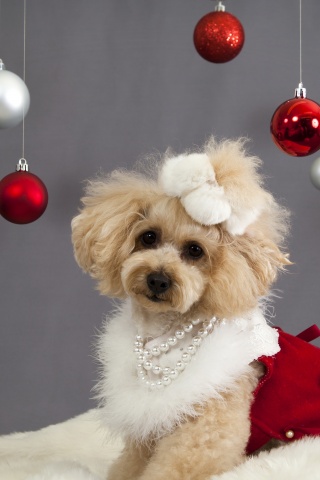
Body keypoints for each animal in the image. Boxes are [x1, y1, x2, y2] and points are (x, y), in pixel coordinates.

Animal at [70, 137, 290, 478]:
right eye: (149, 237)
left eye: (195, 251)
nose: (158, 279)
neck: (167, 332)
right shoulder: (149, 424)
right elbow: (130, 463)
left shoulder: (207, 424)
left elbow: (179, 464)